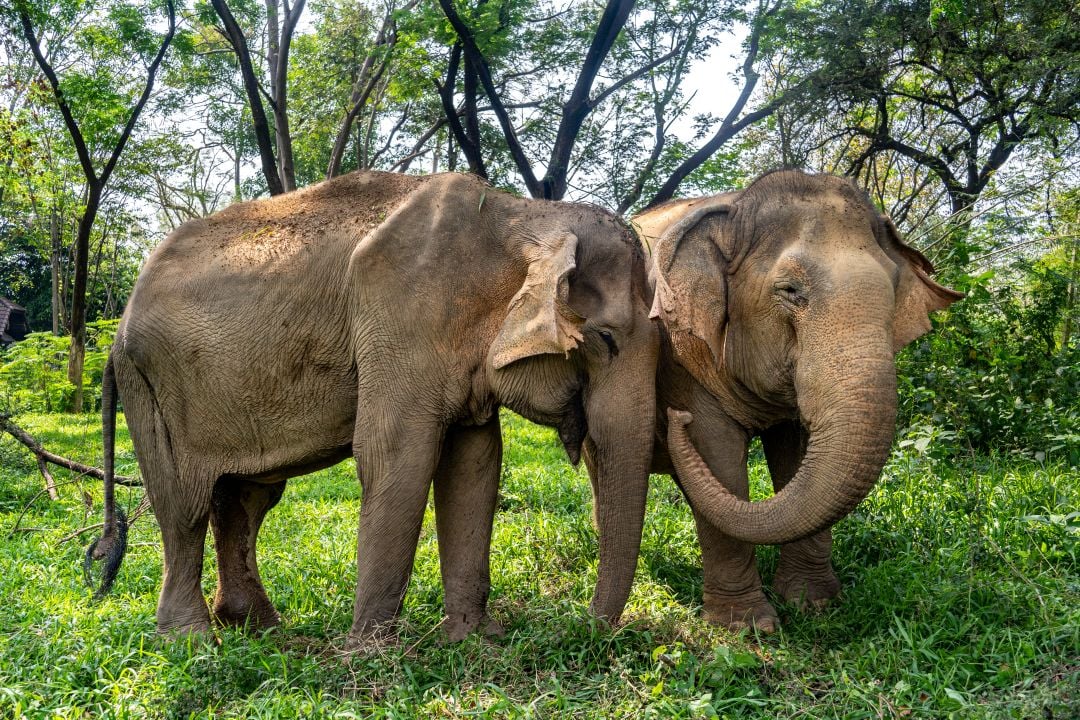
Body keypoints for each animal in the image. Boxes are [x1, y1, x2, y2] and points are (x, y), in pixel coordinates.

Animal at [87, 170, 659, 647]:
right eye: (606, 340)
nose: (585, 628)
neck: (520, 211)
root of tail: (118, 328)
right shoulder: (401, 312)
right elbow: (398, 456)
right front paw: (370, 651)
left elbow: (474, 465)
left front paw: (474, 639)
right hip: (152, 385)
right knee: (184, 506)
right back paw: (190, 641)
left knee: (247, 497)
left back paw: (260, 628)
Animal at [629, 169, 962, 632]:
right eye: (789, 290)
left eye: (895, 292)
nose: (674, 418)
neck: (735, 210)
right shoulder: (681, 348)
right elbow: (718, 456)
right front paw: (748, 627)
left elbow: (797, 457)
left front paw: (813, 604)